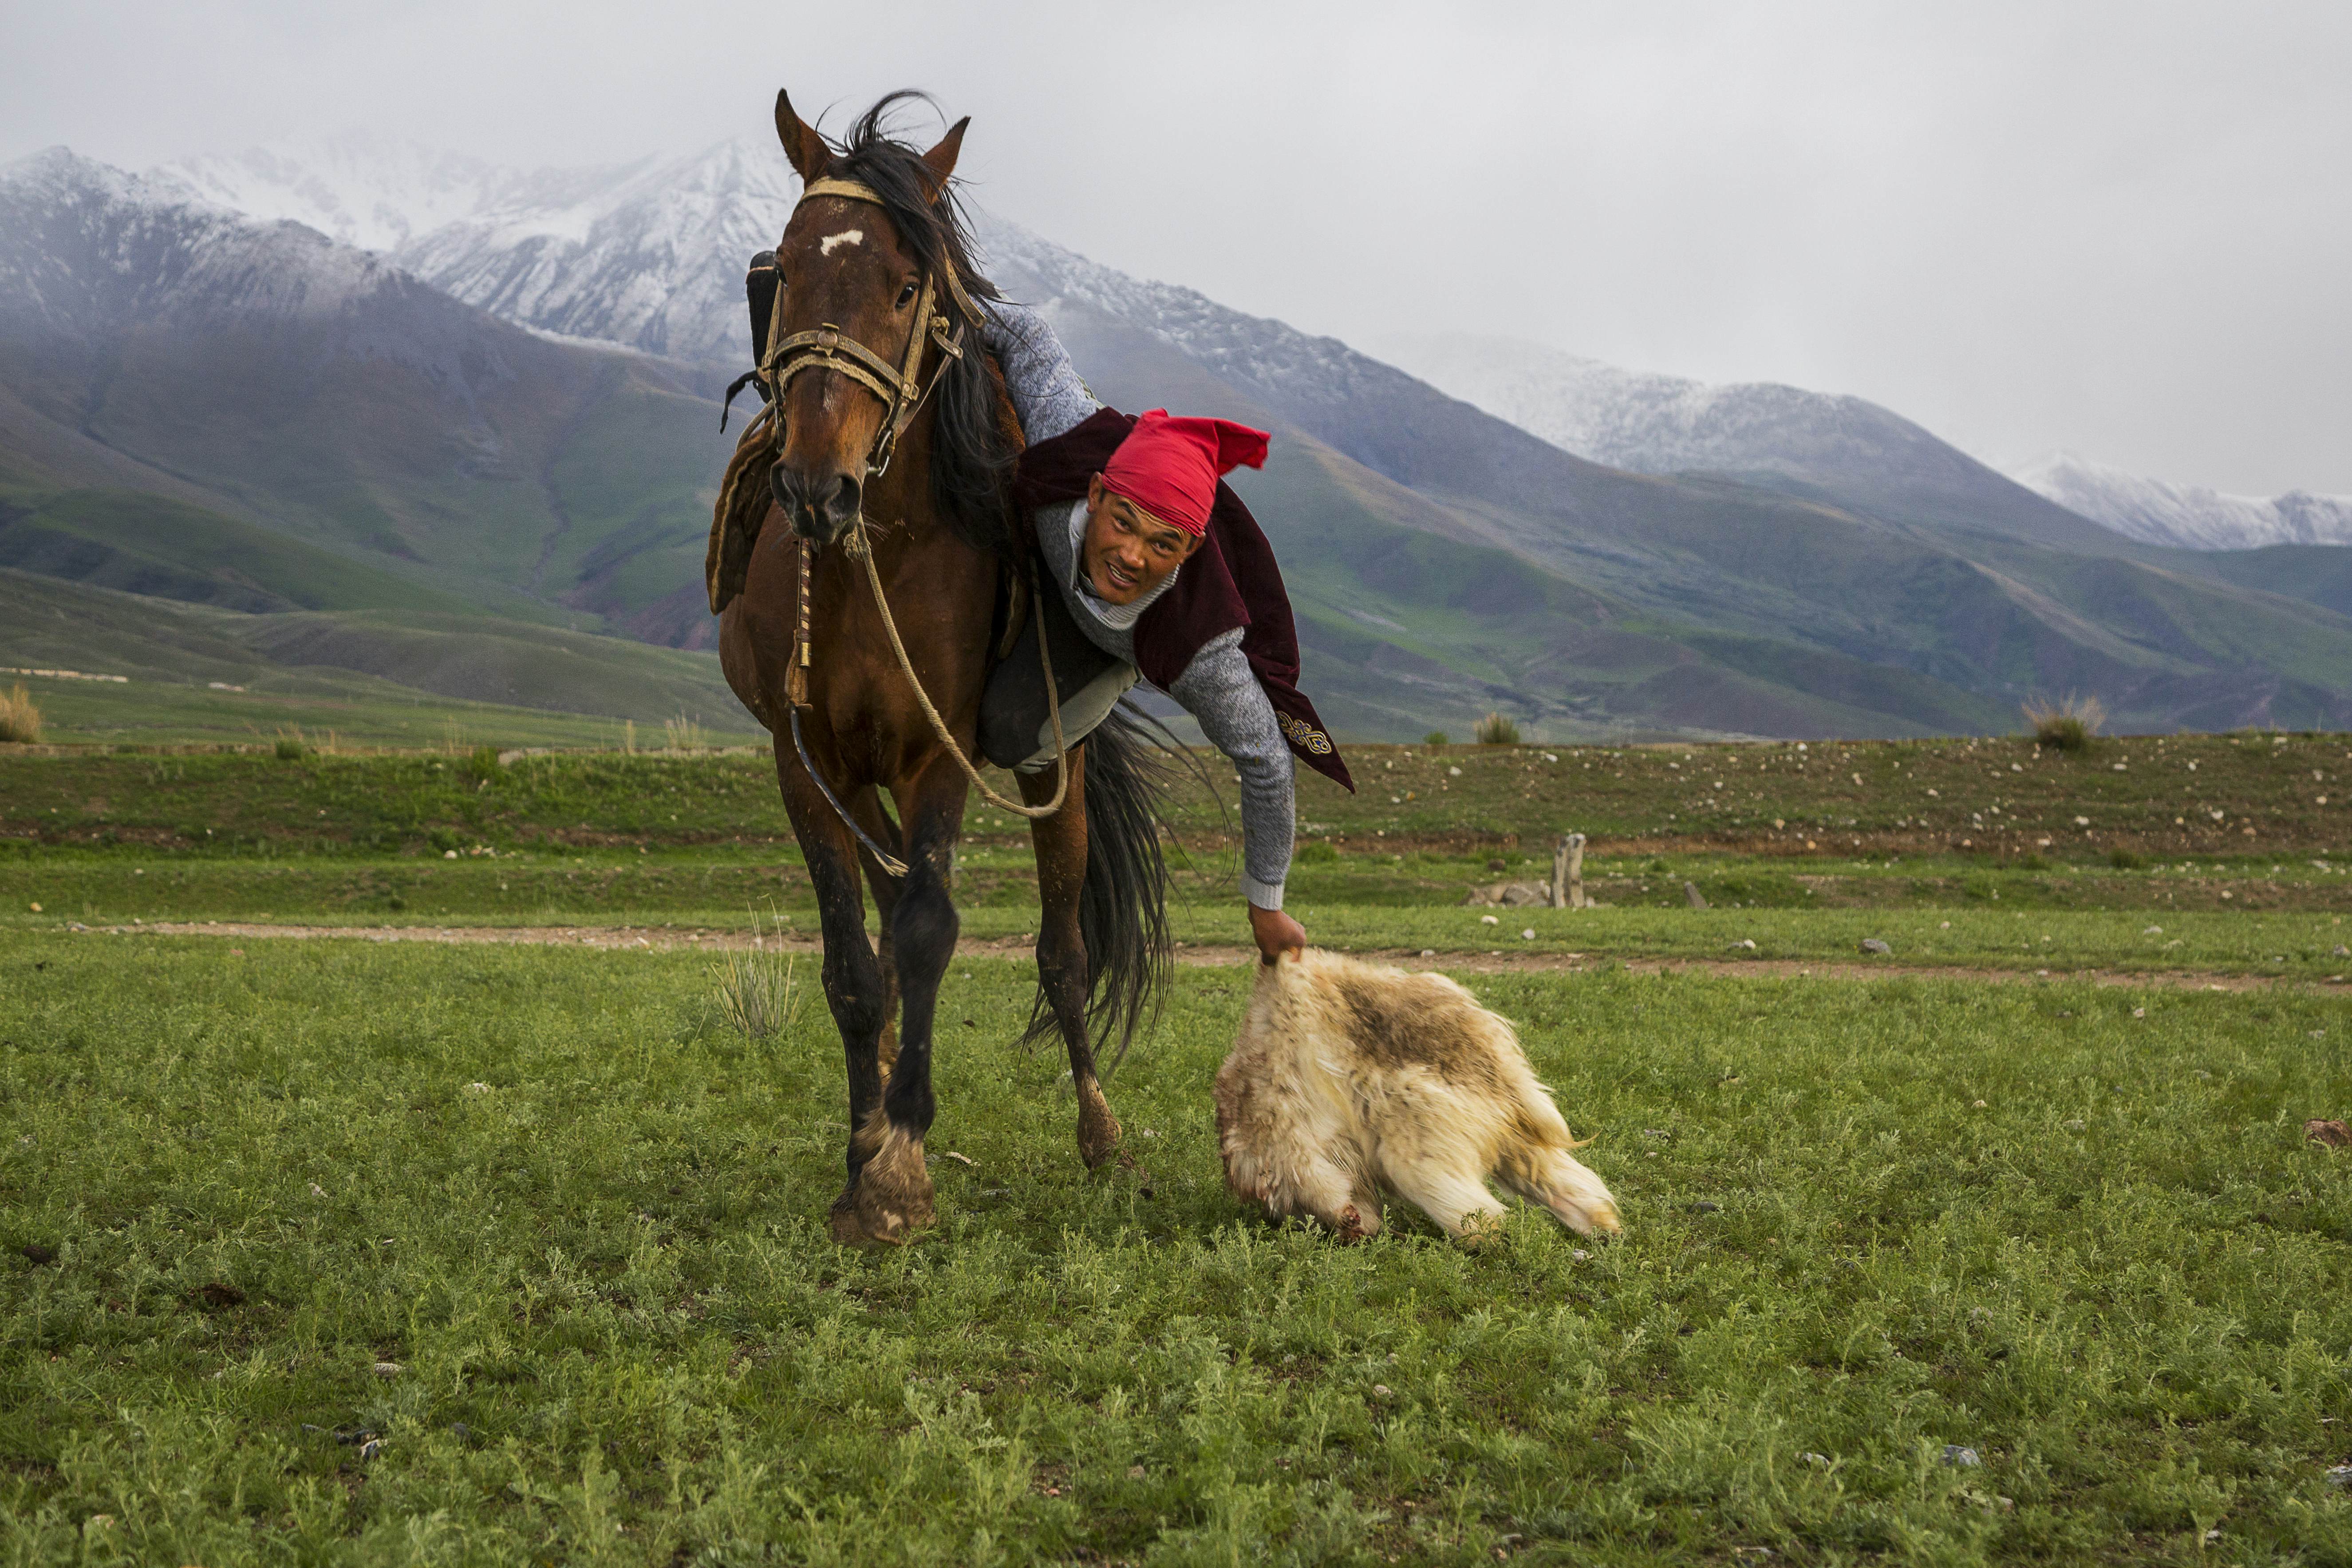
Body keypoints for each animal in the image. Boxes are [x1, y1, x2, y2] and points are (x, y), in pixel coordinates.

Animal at [706, 92, 1166, 1250]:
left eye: (907, 286)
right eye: (779, 270)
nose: (814, 484)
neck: (879, 548)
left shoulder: (939, 752)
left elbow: (926, 933)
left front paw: (902, 1167)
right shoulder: (805, 761)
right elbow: (853, 963)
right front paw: (861, 1152)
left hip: (1056, 769)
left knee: (1061, 949)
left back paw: (1101, 1134)